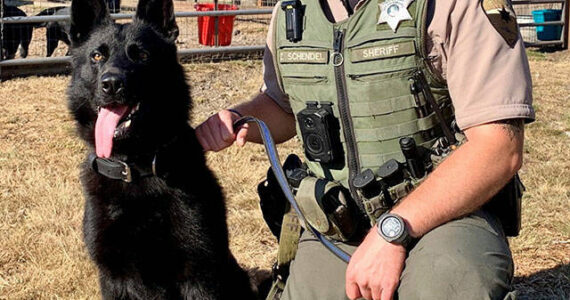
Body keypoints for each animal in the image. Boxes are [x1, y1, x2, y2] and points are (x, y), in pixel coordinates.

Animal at [65, 0, 256, 298]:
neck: (134, 166)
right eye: (97, 56)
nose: (111, 84)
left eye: (142, 55)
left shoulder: (200, 277)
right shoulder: (113, 278)